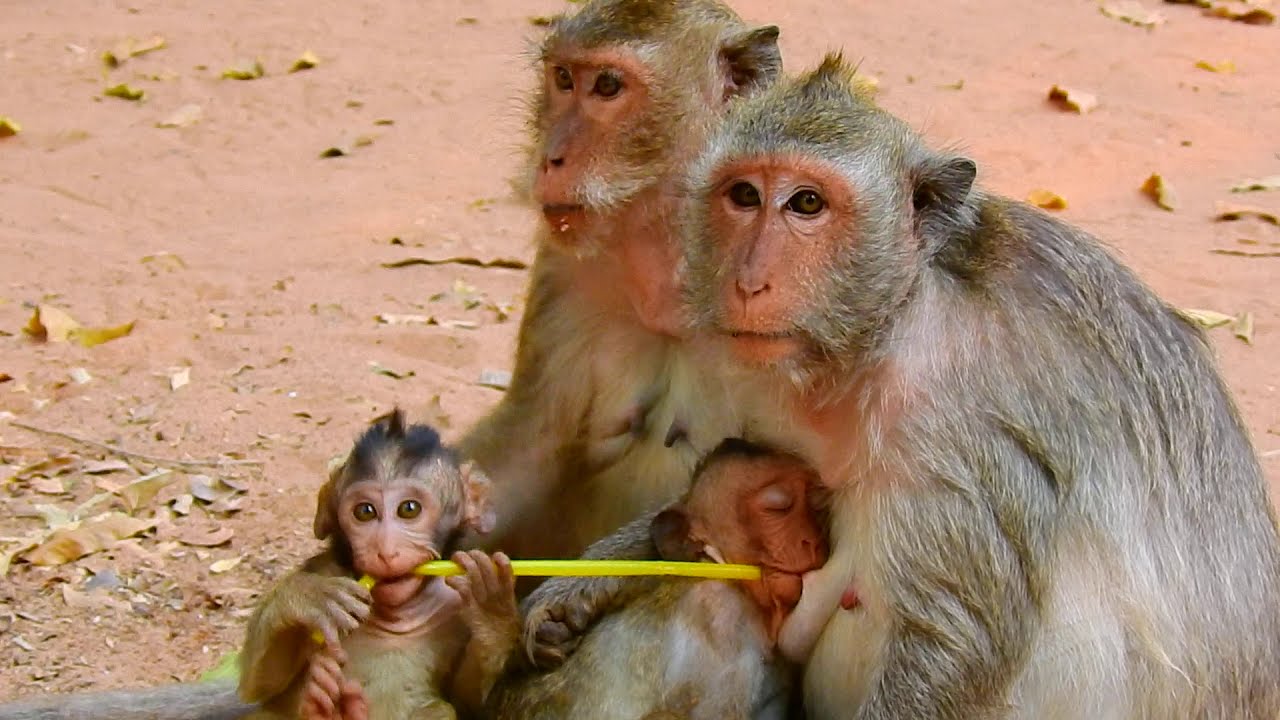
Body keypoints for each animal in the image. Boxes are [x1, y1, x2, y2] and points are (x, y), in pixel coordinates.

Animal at [237, 409, 498, 720]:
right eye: (364, 511)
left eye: (409, 509)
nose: (384, 550)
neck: (395, 615)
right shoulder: (326, 570)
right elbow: (261, 684)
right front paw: (306, 597)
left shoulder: (453, 602)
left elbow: (468, 699)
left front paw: (489, 607)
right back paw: (322, 704)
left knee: (439, 710)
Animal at [518, 54, 1280, 719]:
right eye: (743, 196)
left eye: (806, 203)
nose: (748, 280)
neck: (886, 327)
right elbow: (710, 487)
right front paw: (577, 588)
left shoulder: (958, 418)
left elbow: (952, 641)